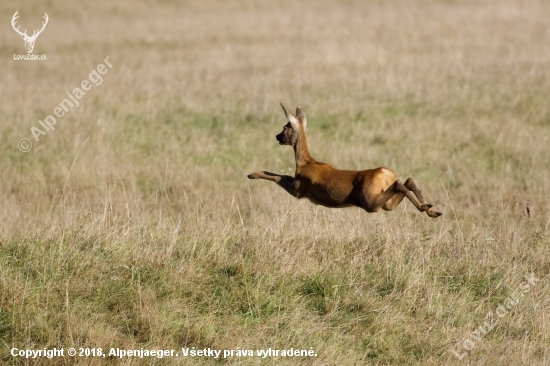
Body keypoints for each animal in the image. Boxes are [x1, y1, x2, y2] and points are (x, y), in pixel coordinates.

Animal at [249, 103, 444, 217]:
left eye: (285, 126)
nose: (277, 137)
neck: (305, 162)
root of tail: (386, 173)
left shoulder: (299, 190)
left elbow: (277, 176)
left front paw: (252, 174)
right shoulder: (297, 183)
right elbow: (281, 175)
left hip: (370, 202)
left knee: (400, 184)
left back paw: (427, 208)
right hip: (385, 204)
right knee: (407, 181)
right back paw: (432, 209)